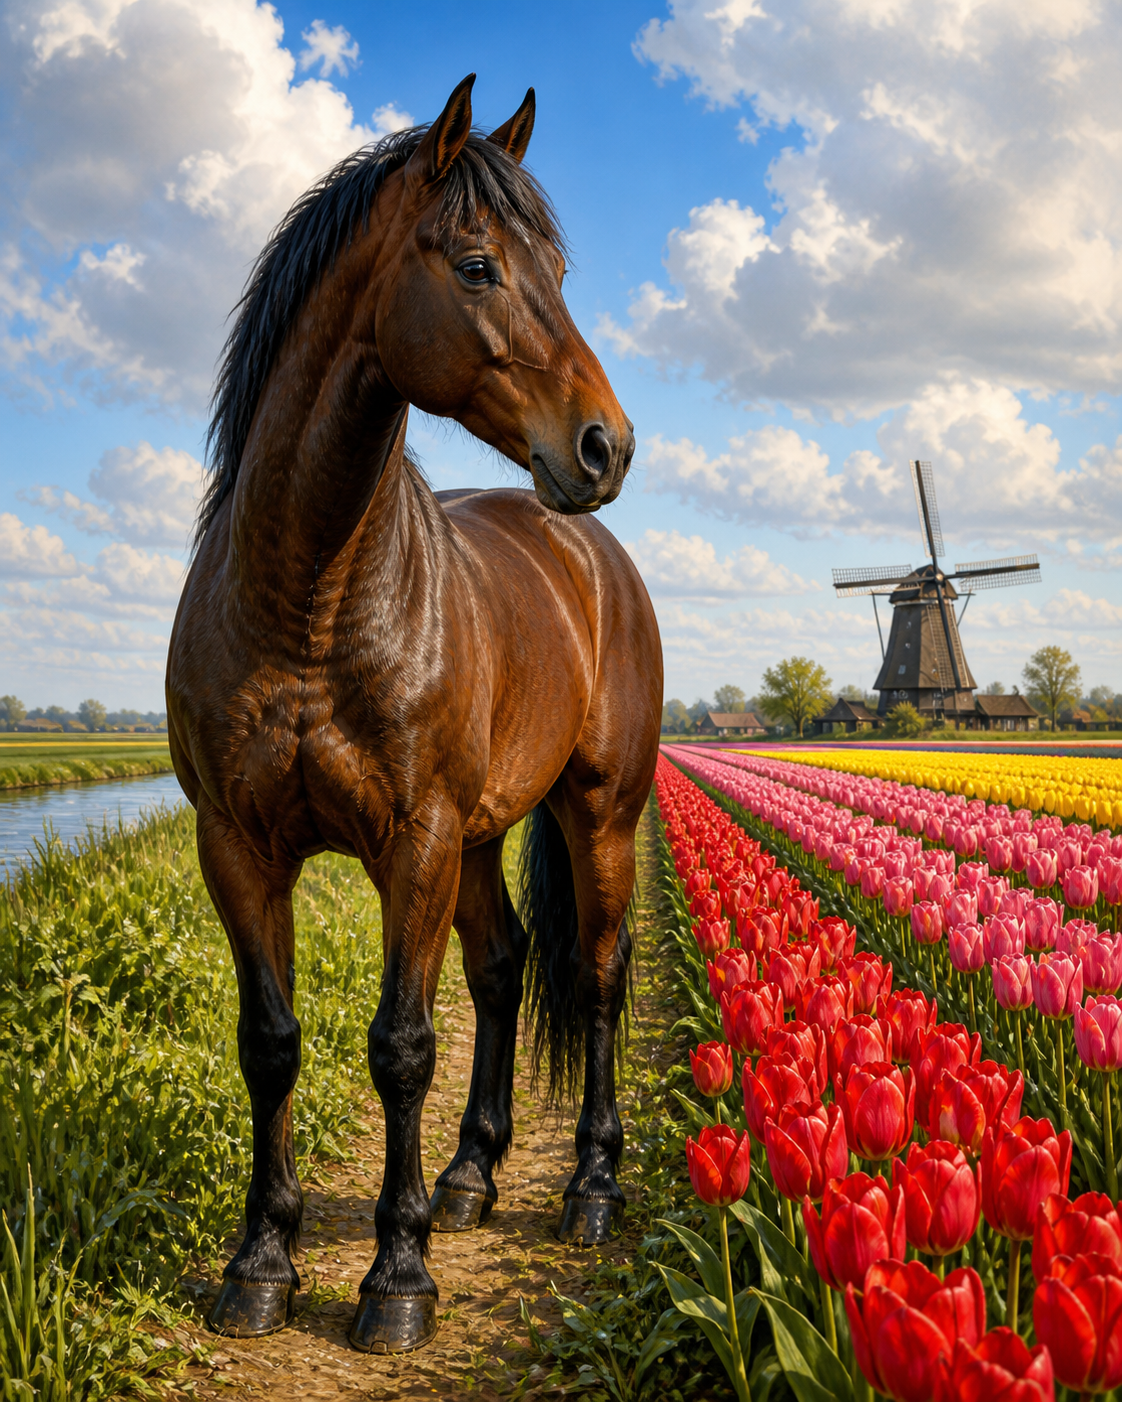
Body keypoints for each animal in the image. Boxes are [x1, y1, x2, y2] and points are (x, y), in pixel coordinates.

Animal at [165, 76, 663, 1355]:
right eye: (480, 265)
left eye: (560, 271)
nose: (606, 445)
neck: (309, 590)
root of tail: (589, 552)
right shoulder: (238, 848)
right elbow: (270, 1043)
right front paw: (263, 1261)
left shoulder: (415, 843)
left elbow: (400, 1047)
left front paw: (396, 1278)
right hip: (484, 837)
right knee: (503, 967)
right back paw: (472, 1176)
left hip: (597, 814)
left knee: (596, 978)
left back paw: (591, 1188)